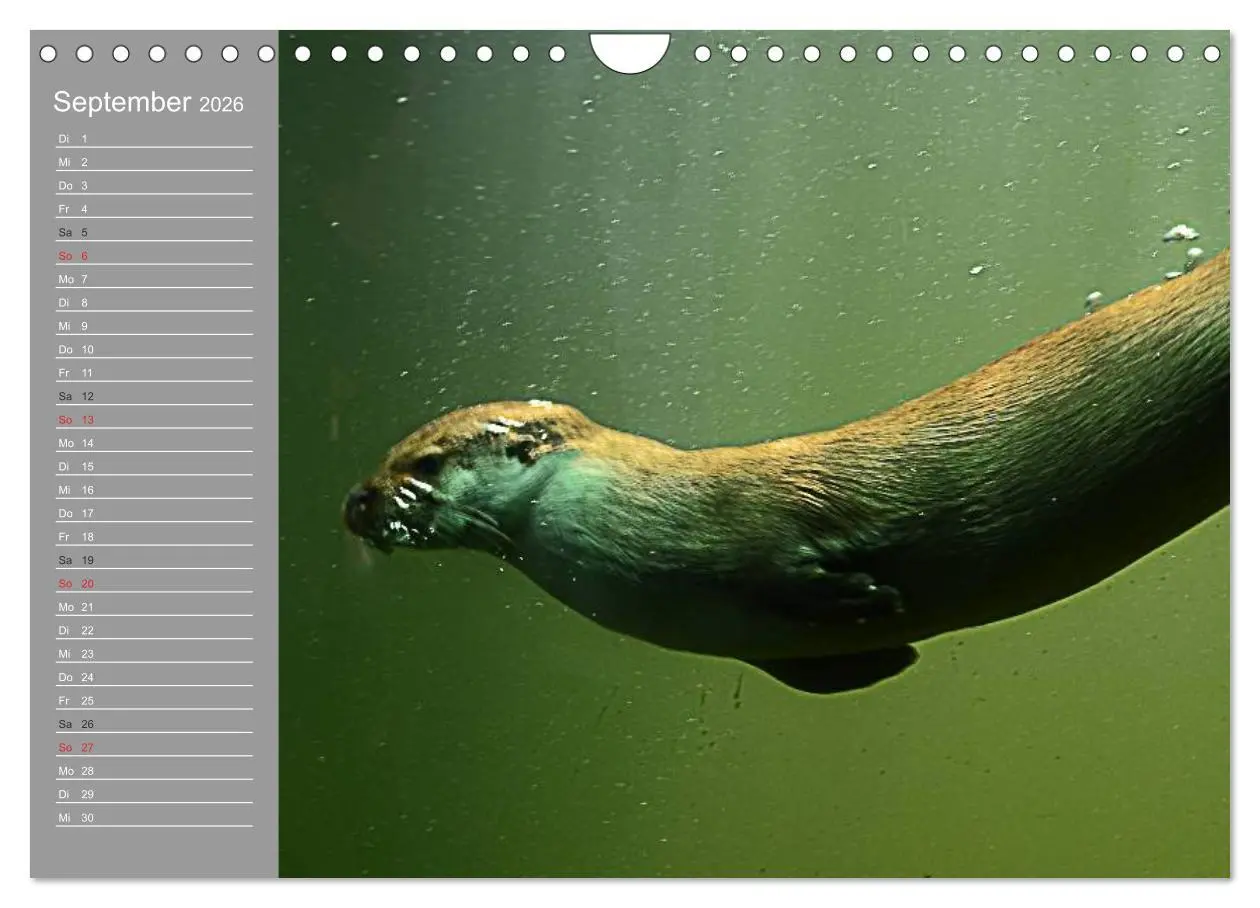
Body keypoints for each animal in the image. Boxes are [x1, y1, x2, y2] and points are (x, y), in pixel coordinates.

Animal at [344, 249, 1230, 693]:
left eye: (421, 463)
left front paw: (865, 597)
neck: (639, 517)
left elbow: (791, 562)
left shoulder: (751, 527)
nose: (357, 499)